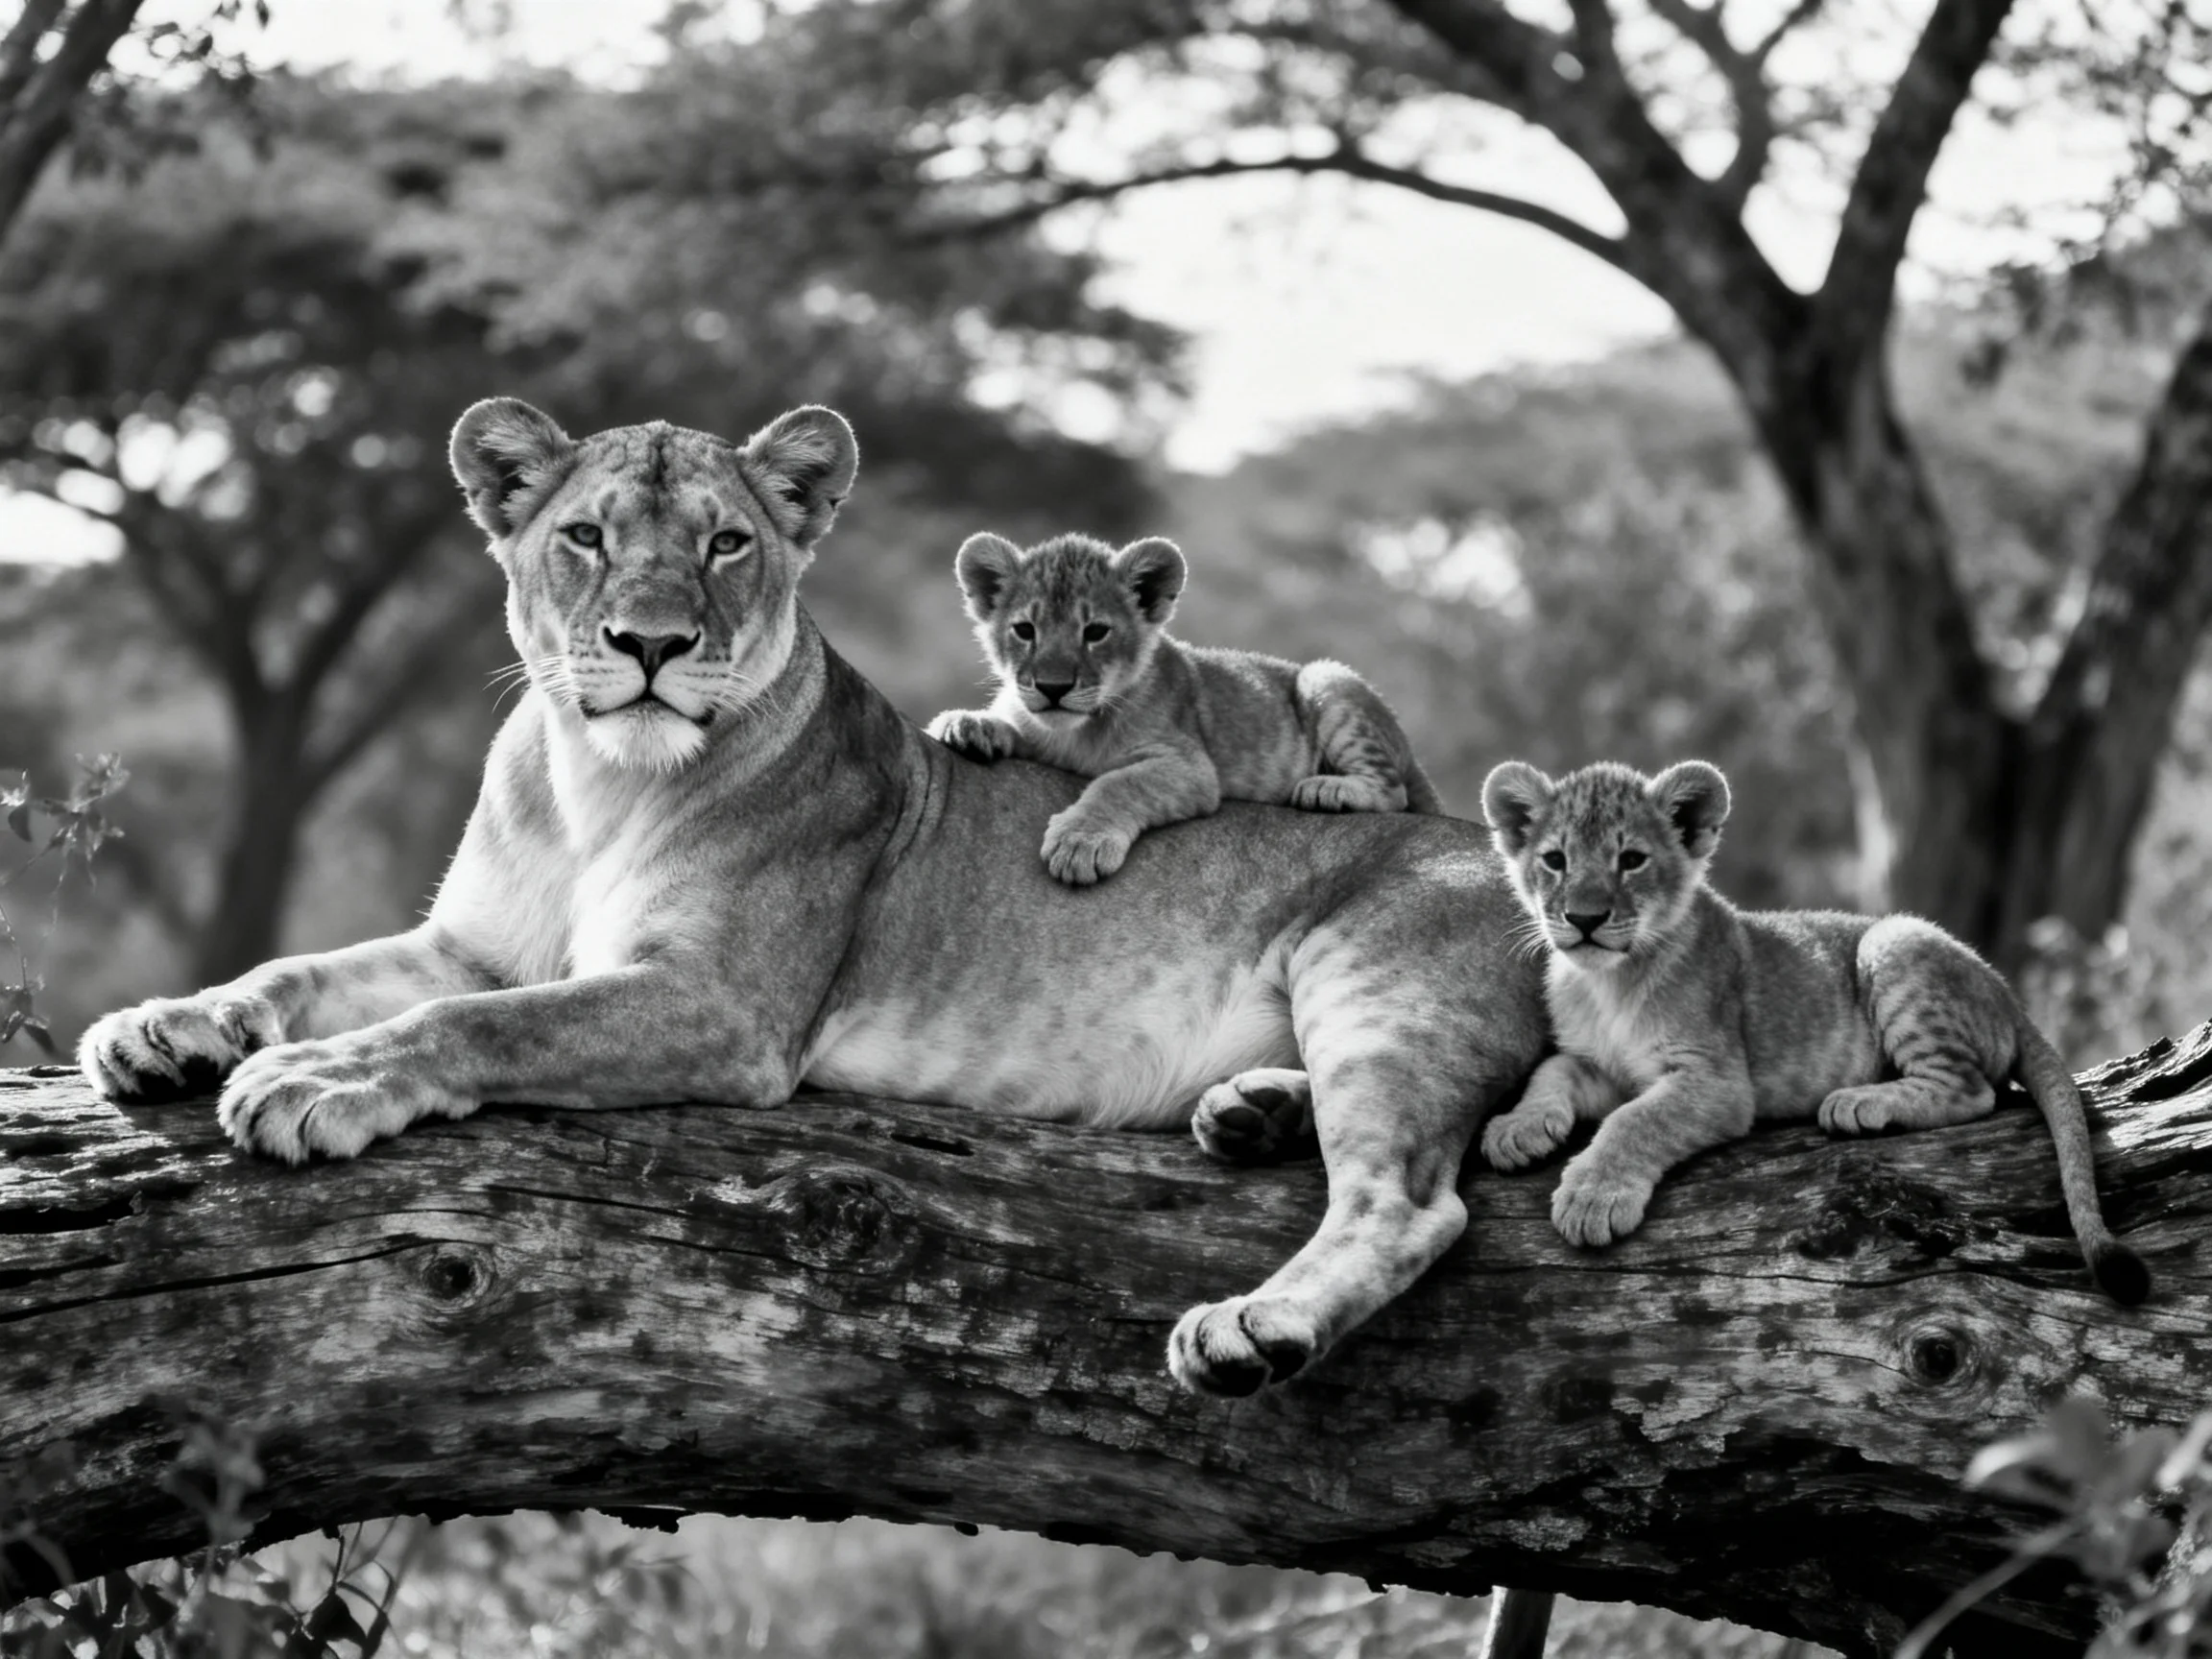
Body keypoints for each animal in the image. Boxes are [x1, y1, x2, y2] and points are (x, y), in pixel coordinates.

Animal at [925, 531, 1440, 885]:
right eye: (1025, 630)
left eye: (1096, 632)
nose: (1053, 687)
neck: (1071, 732)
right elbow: (1009, 721)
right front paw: (965, 723)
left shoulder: (1189, 766)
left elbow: (1119, 783)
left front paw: (1079, 842)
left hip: (1325, 678)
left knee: (1395, 792)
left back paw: (1328, 789)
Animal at [1478, 757, 2148, 1303]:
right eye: (1556, 861)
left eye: (1631, 860)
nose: (1584, 919)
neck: (1607, 982)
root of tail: (2009, 997)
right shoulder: (1605, 1066)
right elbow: (1553, 1069)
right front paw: (1516, 1129)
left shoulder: (1718, 1082)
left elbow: (1635, 1121)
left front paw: (1593, 1196)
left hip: (1892, 938)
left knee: (1972, 1090)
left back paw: (1860, 1103)